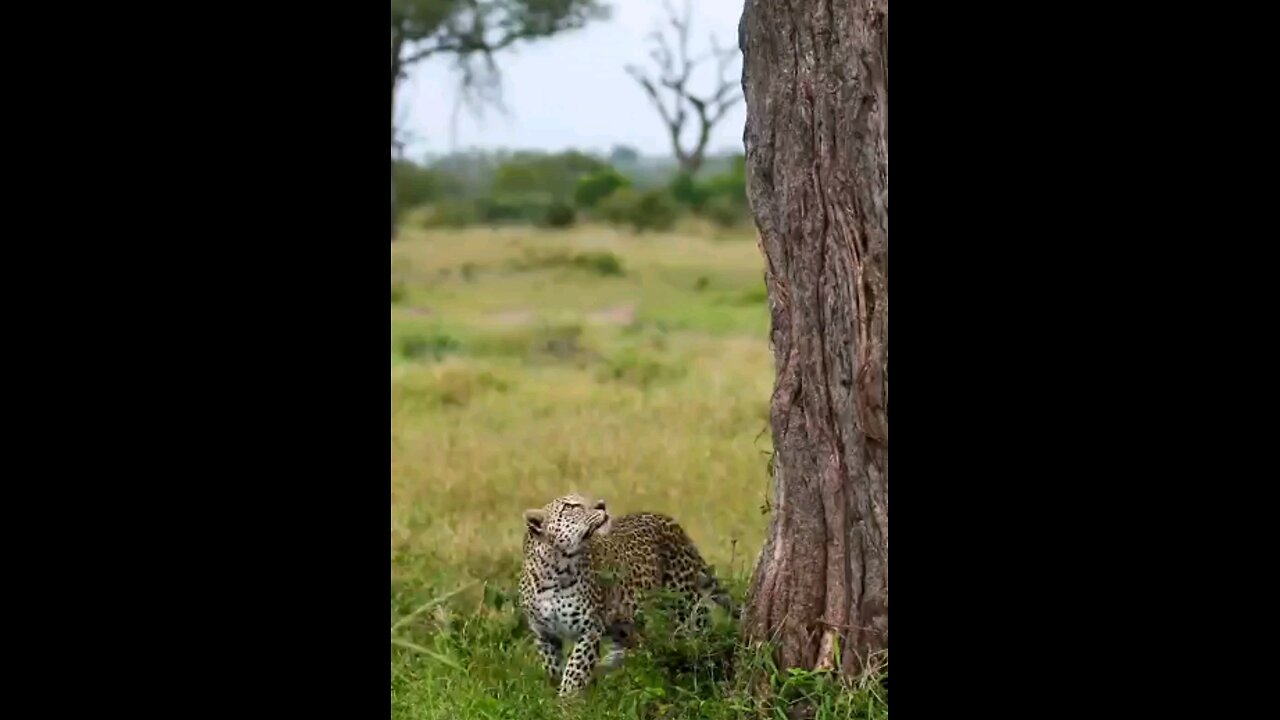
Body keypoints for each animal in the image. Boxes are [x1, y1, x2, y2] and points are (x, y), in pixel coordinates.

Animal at [517, 489, 737, 691]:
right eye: (570, 506)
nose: (602, 504)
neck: (554, 570)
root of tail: (671, 521)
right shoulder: (544, 634)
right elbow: (553, 668)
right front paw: (554, 690)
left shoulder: (589, 630)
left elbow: (574, 672)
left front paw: (566, 701)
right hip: (626, 624)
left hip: (684, 603)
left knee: (701, 635)